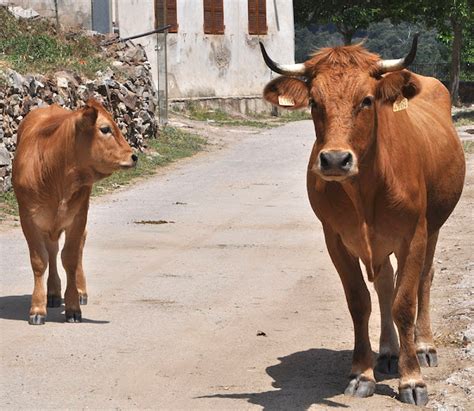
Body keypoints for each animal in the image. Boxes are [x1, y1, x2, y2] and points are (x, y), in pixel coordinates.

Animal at [13, 99, 135, 326]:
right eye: (105, 129)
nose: (134, 156)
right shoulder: (28, 218)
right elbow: (40, 260)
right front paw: (37, 308)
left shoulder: (78, 216)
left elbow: (69, 258)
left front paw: (73, 306)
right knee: (52, 251)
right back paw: (52, 293)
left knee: (77, 248)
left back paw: (80, 291)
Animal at [262, 37, 464, 408]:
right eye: (314, 102)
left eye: (367, 100)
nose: (334, 159)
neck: (365, 190)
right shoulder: (336, 238)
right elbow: (360, 302)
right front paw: (362, 373)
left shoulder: (413, 234)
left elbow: (404, 302)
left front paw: (412, 379)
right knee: (384, 284)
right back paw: (388, 352)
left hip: (434, 226)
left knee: (424, 279)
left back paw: (423, 345)